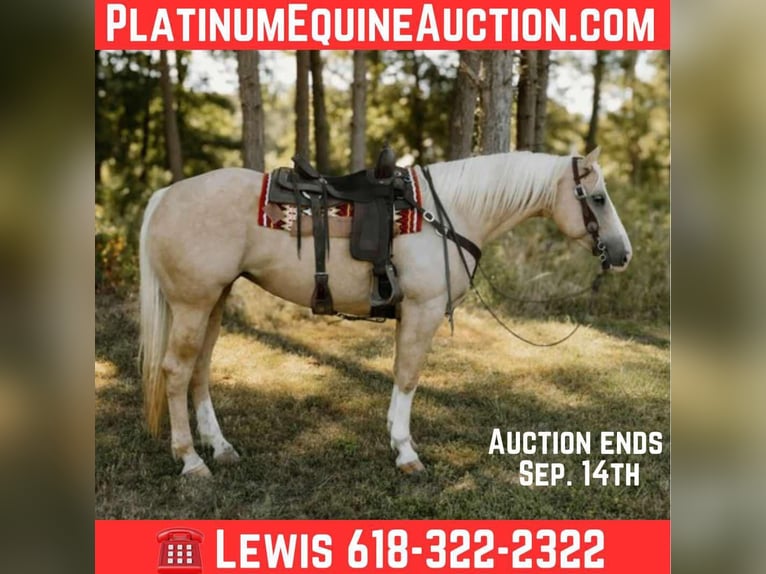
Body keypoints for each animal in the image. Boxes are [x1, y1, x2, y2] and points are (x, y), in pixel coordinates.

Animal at [138, 146, 632, 477]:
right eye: (598, 198)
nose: (623, 254)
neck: (447, 214)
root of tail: (164, 195)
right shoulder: (423, 310)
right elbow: (409, 376)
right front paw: (407, 452)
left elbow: (399, 374)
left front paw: (397, 439)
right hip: (193, 304)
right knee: (177, 372)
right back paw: (191, 460)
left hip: (214, 301)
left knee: (200, 370)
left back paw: (220, 448)